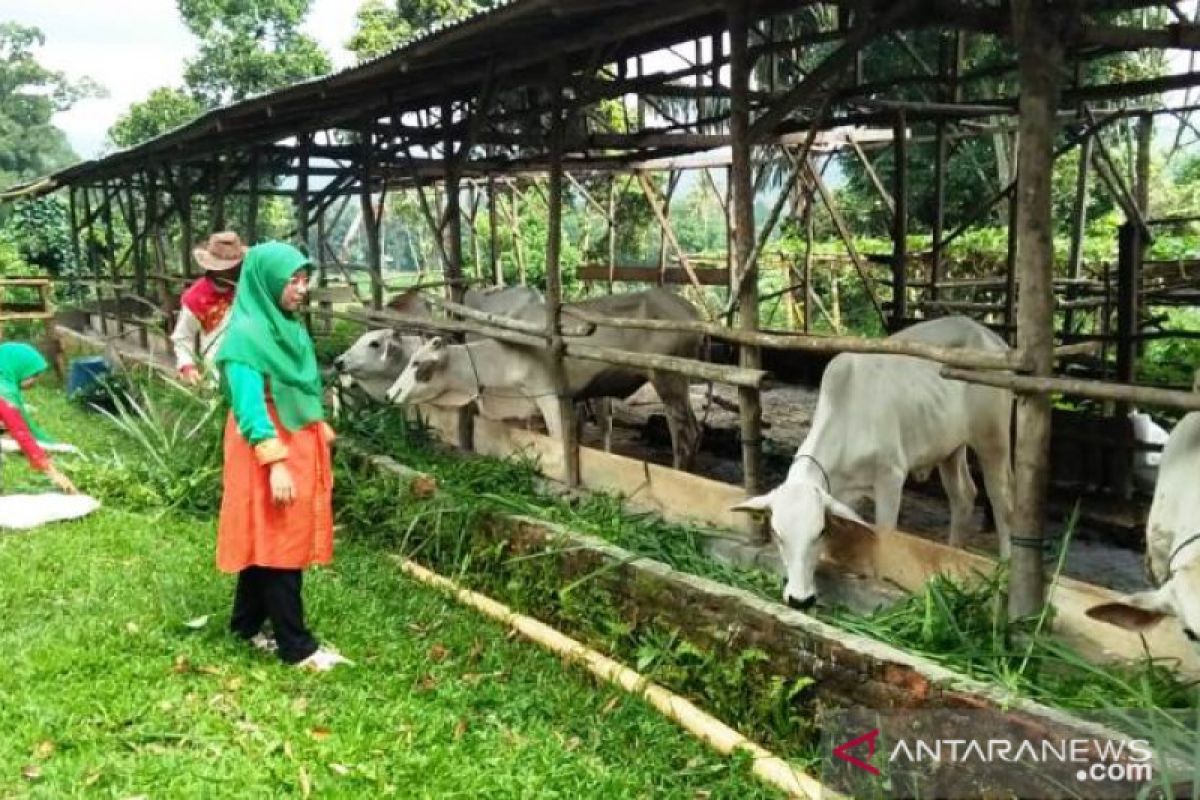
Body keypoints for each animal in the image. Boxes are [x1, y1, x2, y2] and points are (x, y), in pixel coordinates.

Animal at [729, 316, 1012, 609]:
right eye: (777, 534)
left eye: (819, 532)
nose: (800, 600)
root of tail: (991, 337)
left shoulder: (891, 476)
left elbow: (885, 531)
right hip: (949, 447)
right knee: (963, 495)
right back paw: (953, 553)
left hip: (993, 439)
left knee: (1002, 501)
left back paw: (1005, 569)